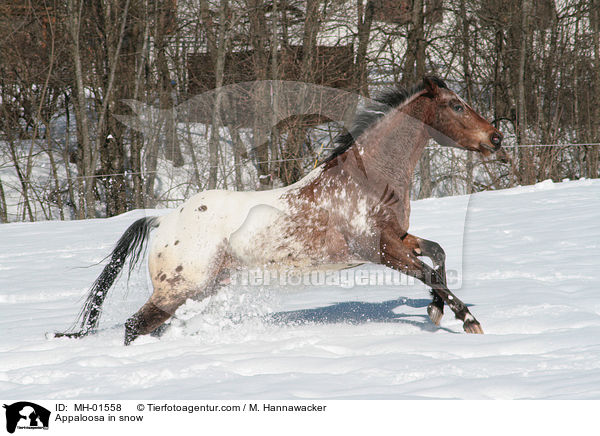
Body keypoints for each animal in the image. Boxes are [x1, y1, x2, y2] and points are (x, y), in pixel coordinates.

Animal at [59, 76, 502, 346]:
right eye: (456, 106)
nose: (496, 138)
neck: (368, 179)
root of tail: (162, 220)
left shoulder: (399, 237)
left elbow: (438, 255)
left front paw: (435, 311)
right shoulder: (378, 250)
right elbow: (429, 271)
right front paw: (467, 320)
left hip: (198, 289)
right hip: (179, 289)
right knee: (134, 326)